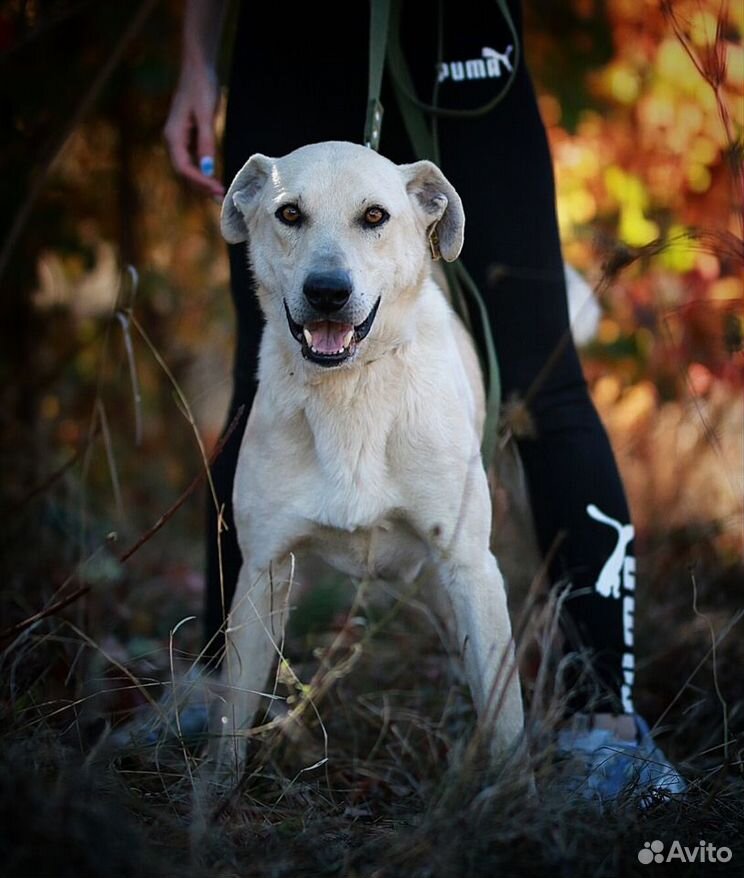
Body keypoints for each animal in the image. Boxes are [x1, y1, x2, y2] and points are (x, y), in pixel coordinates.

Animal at [206, 141, 528, 788]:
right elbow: (234, 710)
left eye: (375, 216)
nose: (327, 291)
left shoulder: (471, 566)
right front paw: (215, 795)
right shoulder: (262, 572)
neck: (350, 390)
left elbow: (505, 711)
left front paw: (515, 798)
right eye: (289, 214)